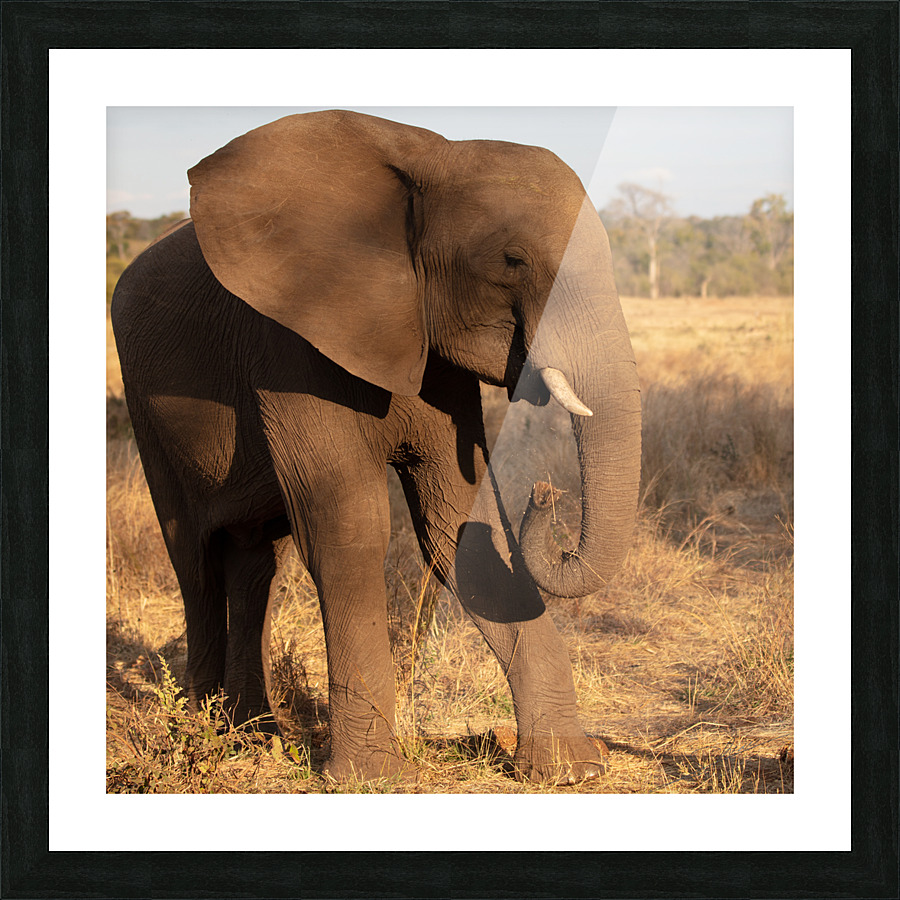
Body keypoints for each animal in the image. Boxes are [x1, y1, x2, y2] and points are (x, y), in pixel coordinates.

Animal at [111, 110, 642, 785]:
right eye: (512, 259)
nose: (546, 494)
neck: (432, 158)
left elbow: (458, 527)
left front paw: (572, 770)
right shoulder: (292, 344)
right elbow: (351, 530)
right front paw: (374, 780)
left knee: (256, 565)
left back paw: (251, 738)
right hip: (149, 408)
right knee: (194, 558)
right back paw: (201, 735)